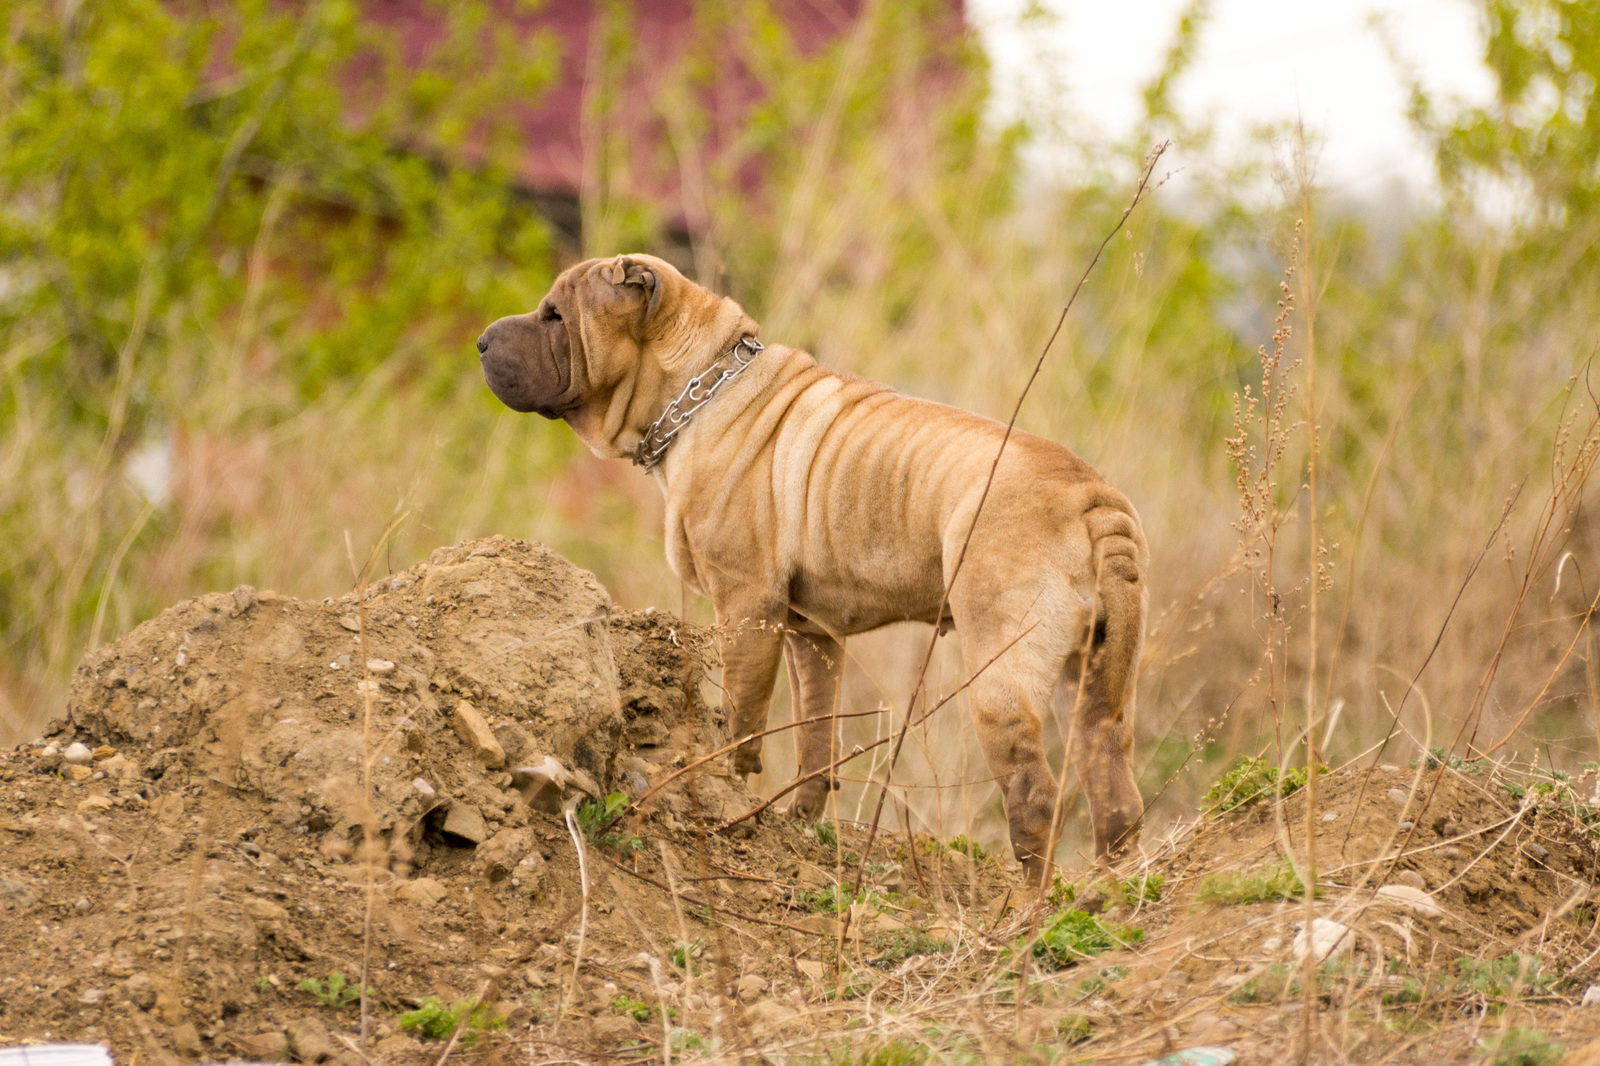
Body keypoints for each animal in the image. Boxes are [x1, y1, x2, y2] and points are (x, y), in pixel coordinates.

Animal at [473, 251, 1152, 870]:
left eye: (555, 315)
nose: (481, 341)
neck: (701, 389)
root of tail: (1092, 498)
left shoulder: (747, 607)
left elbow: (742, 717)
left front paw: (732, 795)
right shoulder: (813, 635)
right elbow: (814, 740)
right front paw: (798, 826)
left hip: (1000, 674)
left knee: (1032, 796)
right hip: (1093, 684)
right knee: (1115, 795)